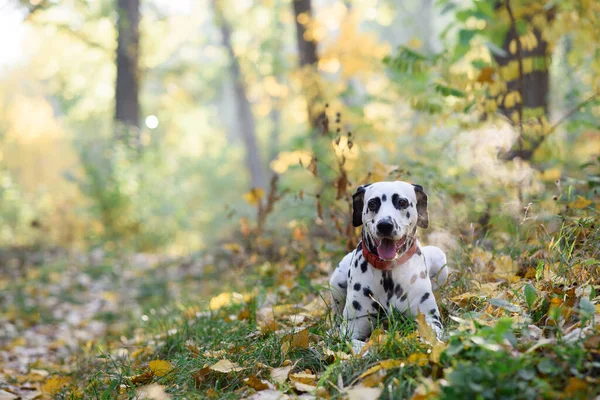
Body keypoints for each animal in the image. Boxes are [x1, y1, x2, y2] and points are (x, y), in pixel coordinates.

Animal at [328, 181, 450, 340]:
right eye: (372, 204)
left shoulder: (431, 320)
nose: (385, 225)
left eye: (402, 202)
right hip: (336, 281)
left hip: (439, 256)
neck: (388, 273)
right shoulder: (351, 328)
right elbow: (354, 343)